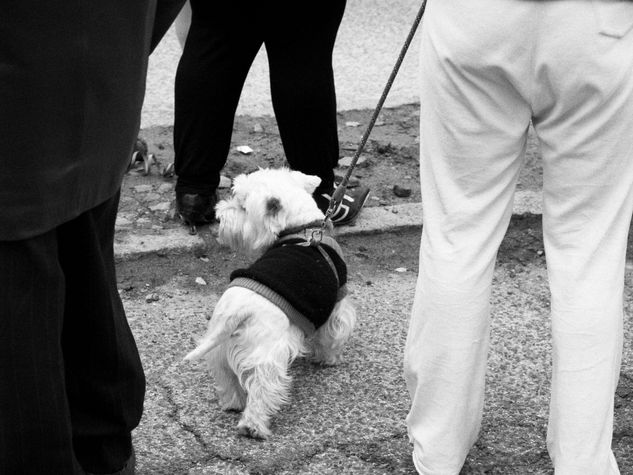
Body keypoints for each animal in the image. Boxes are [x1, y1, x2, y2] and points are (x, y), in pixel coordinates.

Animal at [185, 169, 358, 440]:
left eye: (243, 207)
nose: (218, 215)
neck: (302, 228)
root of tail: (237, 311)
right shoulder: (337, 302)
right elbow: (332, 335)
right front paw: (328, 359)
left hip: (219, 350)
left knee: (228, 379)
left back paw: (232, 404)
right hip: (266, 355)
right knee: (261, 388)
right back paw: (253, 426)